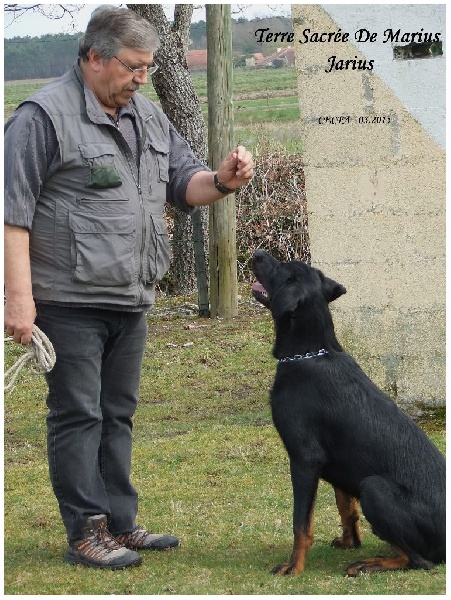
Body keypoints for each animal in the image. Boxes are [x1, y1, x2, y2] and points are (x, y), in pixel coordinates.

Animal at [252, 250, 446, 576]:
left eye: (279, 268)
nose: (257, 254)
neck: (310, 354)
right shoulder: (335, 464)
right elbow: (346, 508)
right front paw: (349, 541)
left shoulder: (305, 458)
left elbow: (301, 524)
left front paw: (294, 567)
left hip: (374, 488)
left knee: (419, 560)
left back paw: (369, 564)